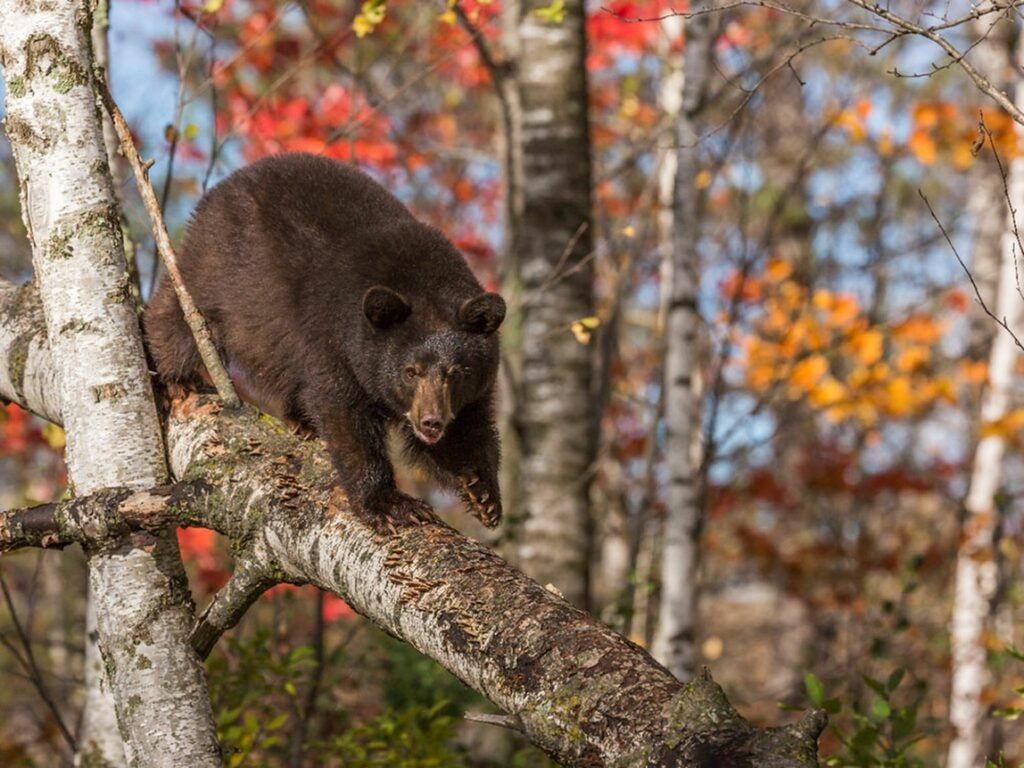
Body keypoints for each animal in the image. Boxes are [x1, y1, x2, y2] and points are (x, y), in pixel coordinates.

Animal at [143, 153, 505, 530]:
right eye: (410, 371)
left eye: (456, 373)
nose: (431, 421)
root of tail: (226, 185)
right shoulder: (334, 341)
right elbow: (345, 417)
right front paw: (389, 504)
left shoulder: (472, 386)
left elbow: (468, 425)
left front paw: (482, 493)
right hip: (220, 268)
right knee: (183, 313)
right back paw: (171, 373)